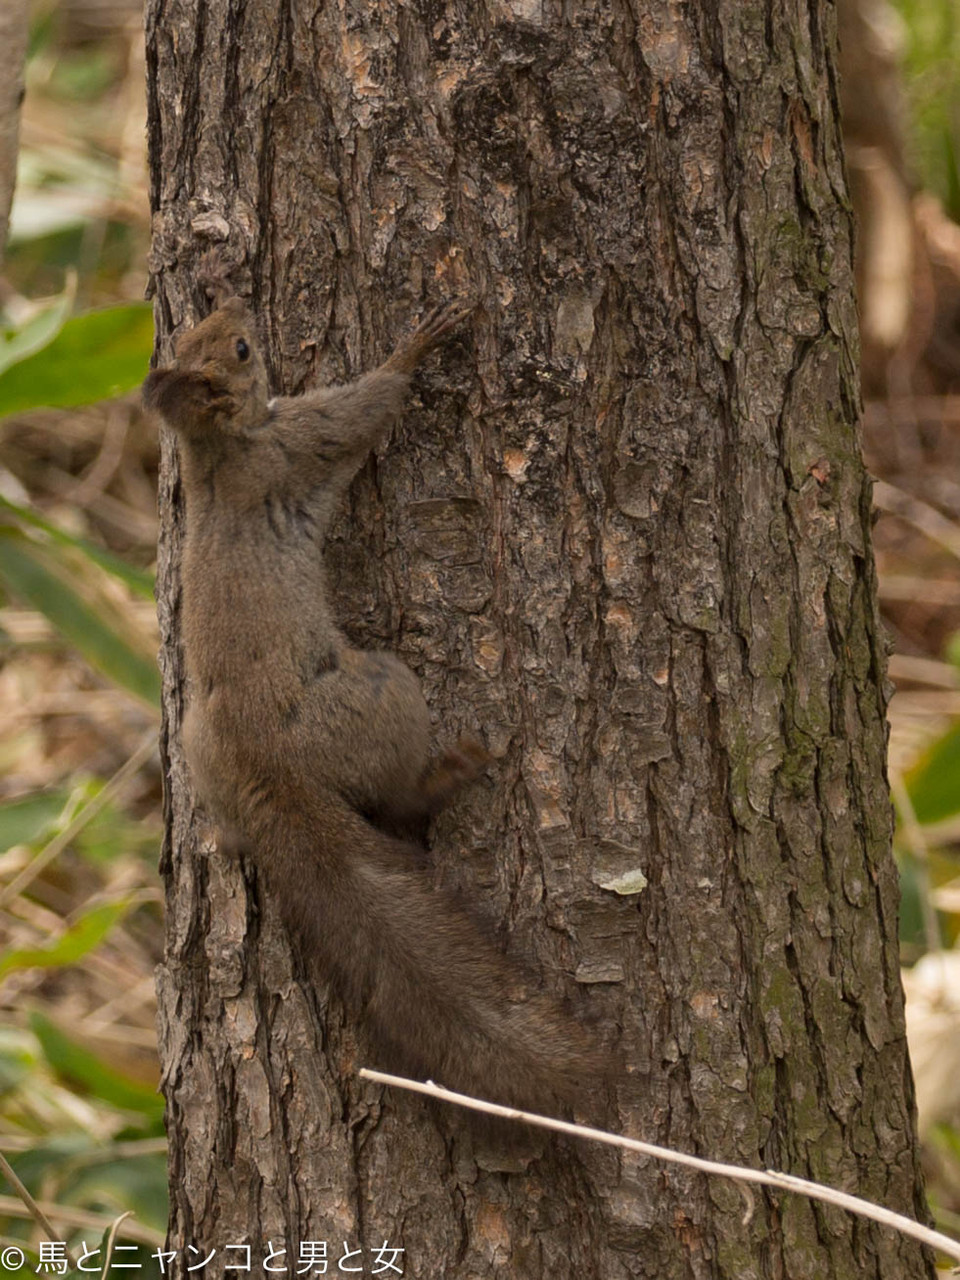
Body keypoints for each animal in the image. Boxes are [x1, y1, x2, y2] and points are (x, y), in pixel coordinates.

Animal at [143, 294, 606, 1111]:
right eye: (239, 349)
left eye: (209, 331)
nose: (235, 301)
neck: (217, 449)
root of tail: (268, 775)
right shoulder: (303, 440)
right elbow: (366, 406)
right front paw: (416, 347)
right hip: (382, 693)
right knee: (395, 800)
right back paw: (450, 774)